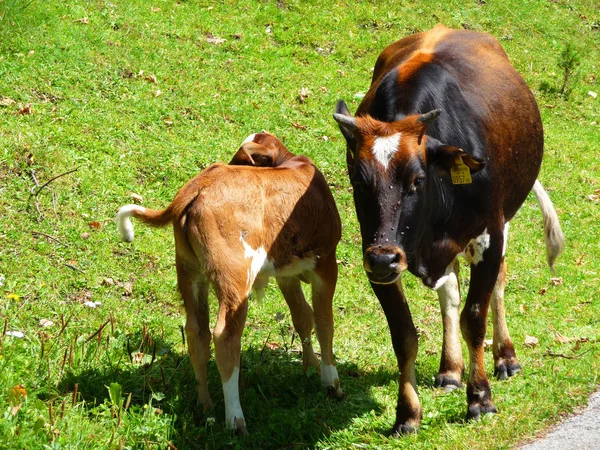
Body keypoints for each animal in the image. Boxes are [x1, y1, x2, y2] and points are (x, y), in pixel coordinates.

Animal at [115, 133, 344, 432]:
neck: (294, 164)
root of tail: (199, 184)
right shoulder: (326, 262)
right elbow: (324, 321)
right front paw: (331, 381)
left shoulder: (285, 272)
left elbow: (302, 316)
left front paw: (311, 368)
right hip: (234, 277)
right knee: (225, 335)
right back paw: (235, 419)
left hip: (189, 271)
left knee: (196, 332)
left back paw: (207, 408)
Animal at [332, 25, 564, 436]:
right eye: (359, 182)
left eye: (417, 179)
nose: (385, 256)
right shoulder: (377, 261)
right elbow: (404, 335)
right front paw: (407, 413)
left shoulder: (489, 237)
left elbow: (475, 316)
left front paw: (480, 399)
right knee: (450, 293)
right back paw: (451, 369)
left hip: (503, 220)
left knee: (498, 285)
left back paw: (505, 357)